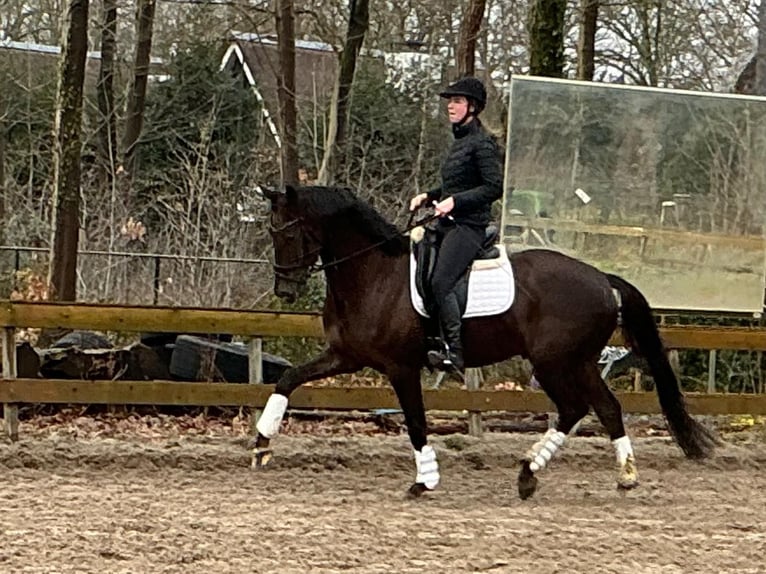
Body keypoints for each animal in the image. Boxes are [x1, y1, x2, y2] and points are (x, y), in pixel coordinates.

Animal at [253, 184, 718, 499]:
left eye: (288, 233)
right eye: (273, 232)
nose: (285, 291)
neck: (373, 274)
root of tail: (602, 279)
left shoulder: (401, 367)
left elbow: (416, 421)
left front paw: (424, 480)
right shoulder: (345, 356)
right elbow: (287, 380)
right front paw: (261, 445)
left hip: (557, 362)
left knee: (584, 407)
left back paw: (567, 473)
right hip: (573, 362)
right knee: (596, 408)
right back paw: (564, 474)